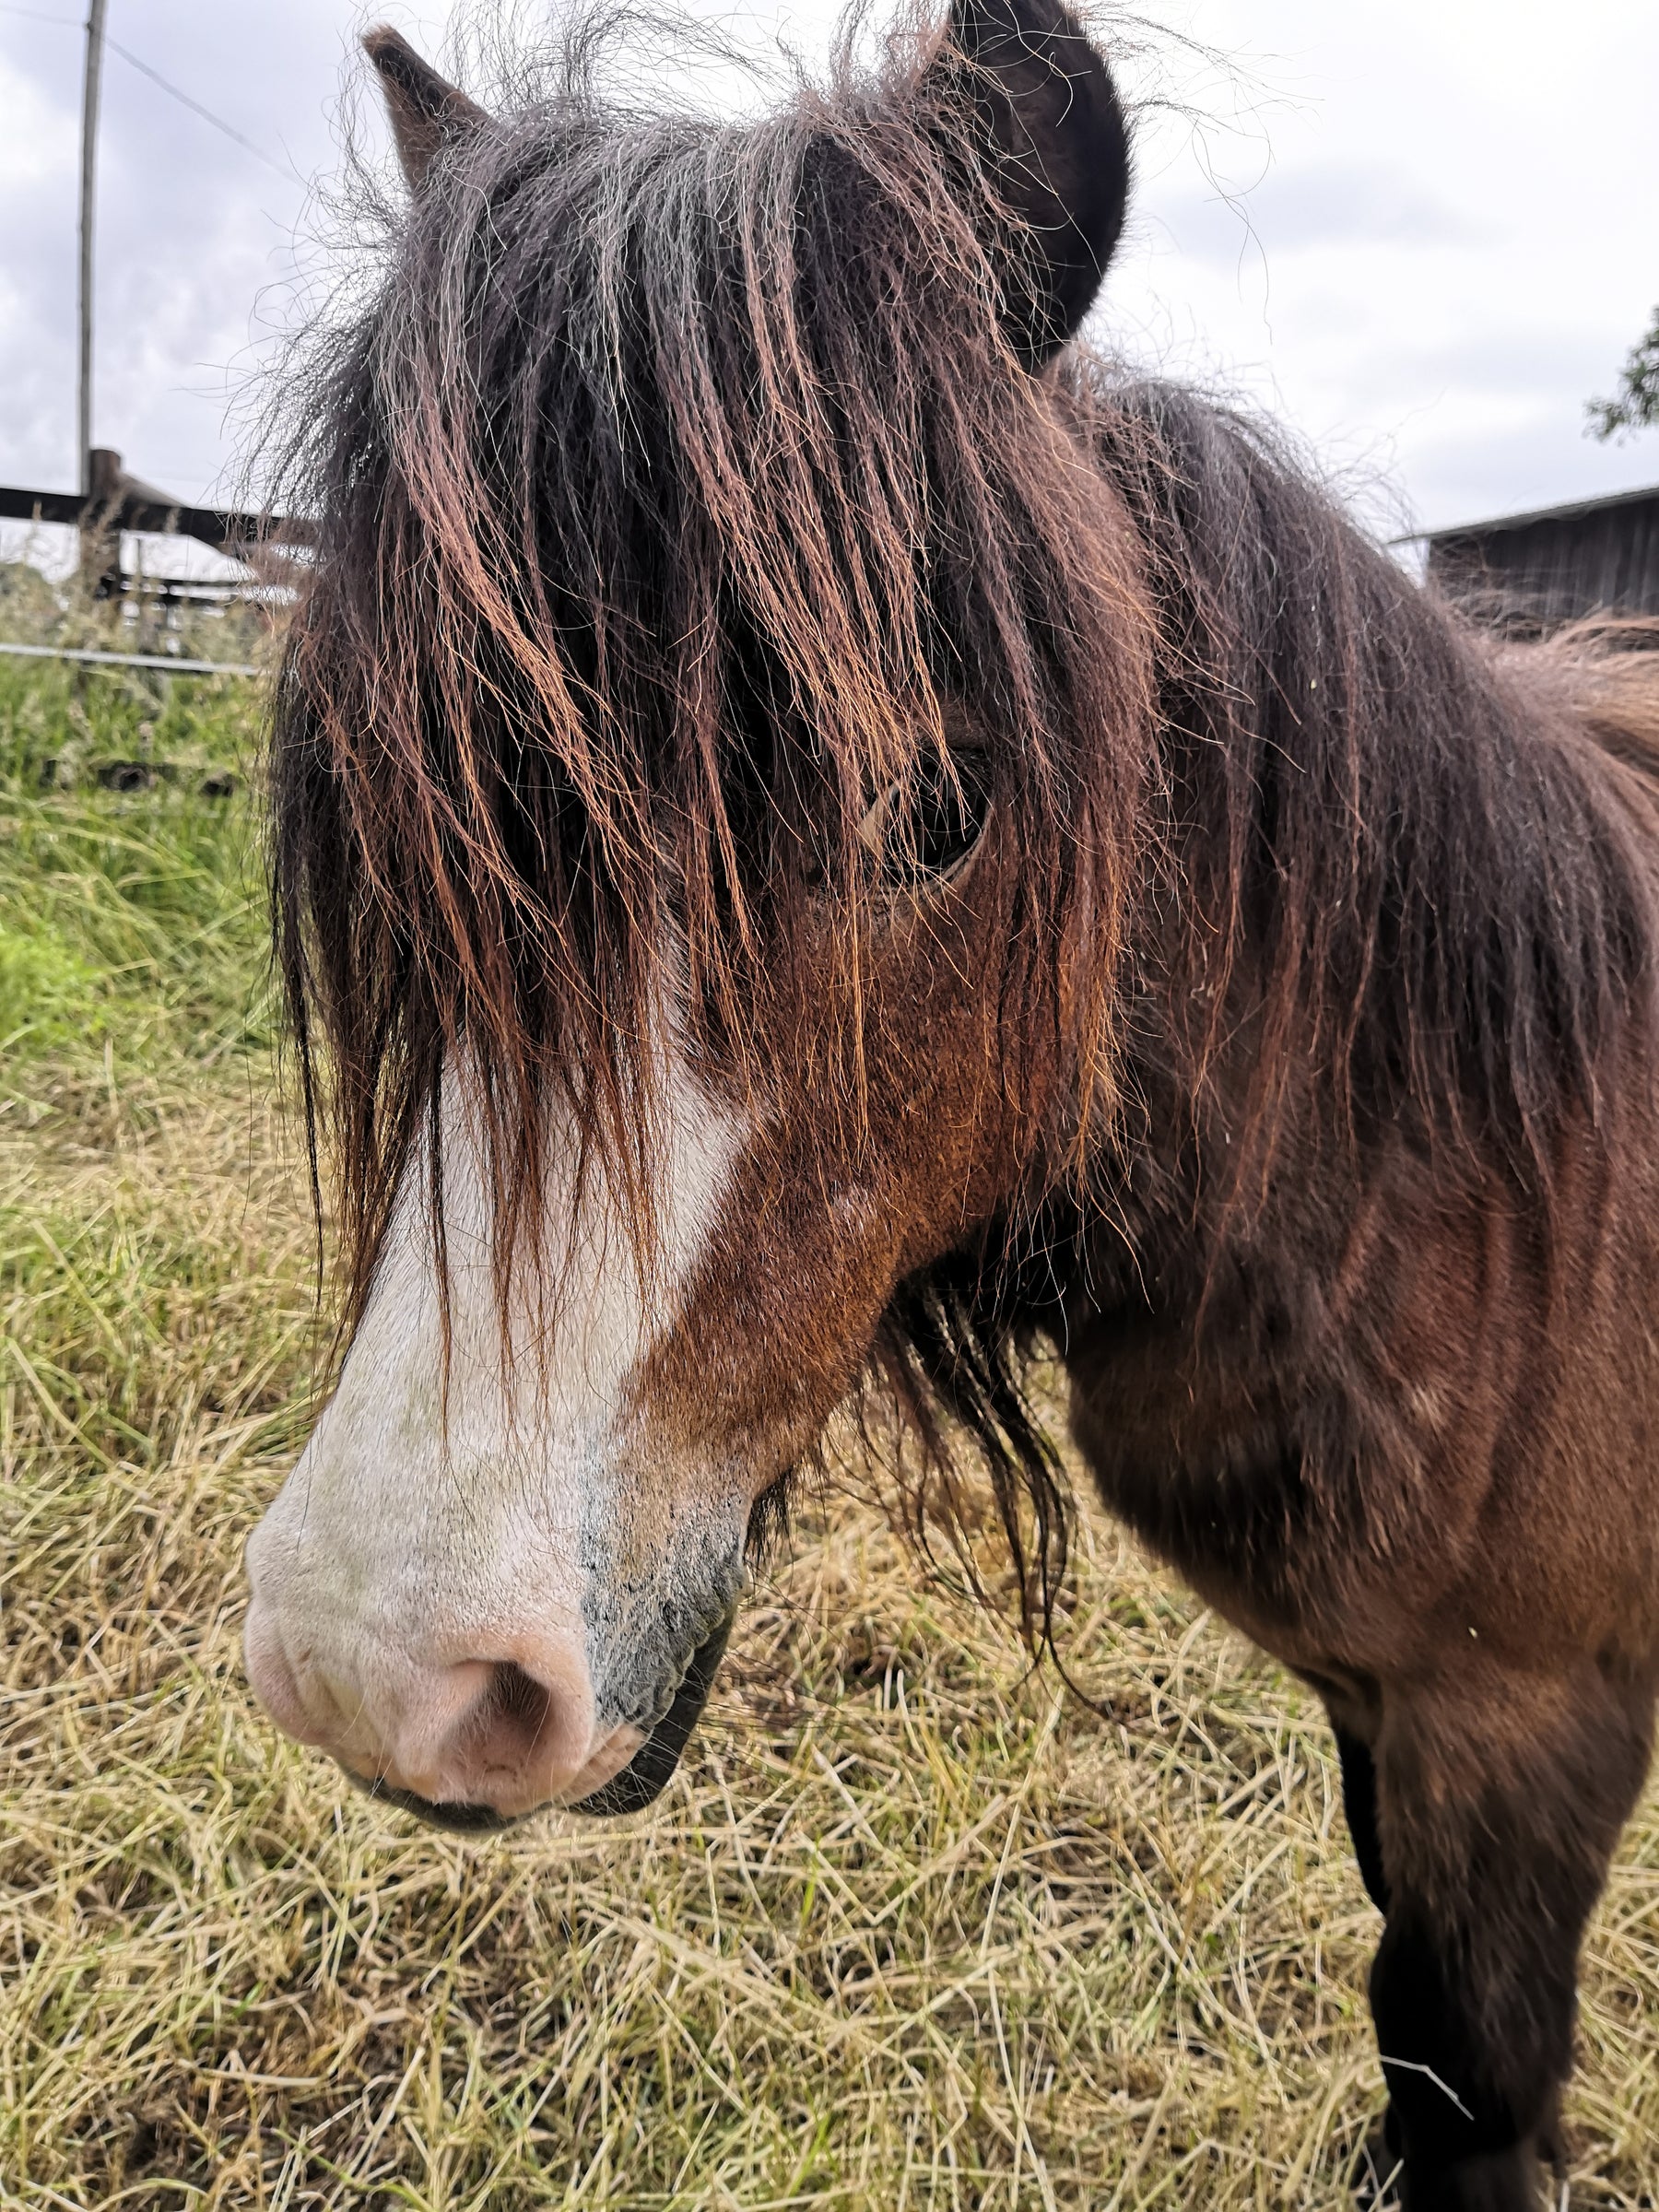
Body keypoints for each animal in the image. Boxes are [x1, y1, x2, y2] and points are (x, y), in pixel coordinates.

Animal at [243, 8, 1659, 2203]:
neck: (1494, 1194)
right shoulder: (1395, 1732)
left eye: (932, 807)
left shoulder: (1526, 1752)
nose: (378, 1670)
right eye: (429, 815)